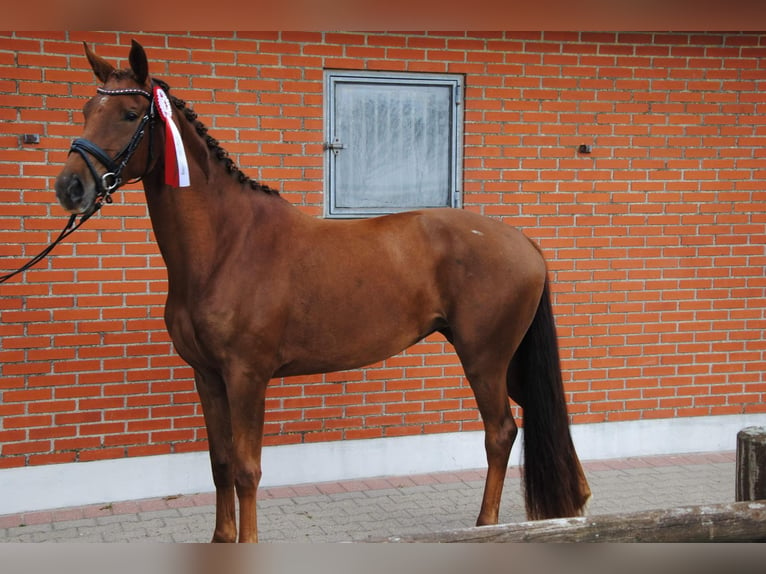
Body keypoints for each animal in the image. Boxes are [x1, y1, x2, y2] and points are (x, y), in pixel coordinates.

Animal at [55, 41, 592, 544]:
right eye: (85, 109)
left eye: (129, 115)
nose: (70, 188)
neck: (228, 245)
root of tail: (524, 241)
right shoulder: (207, 375)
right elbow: (220, 463)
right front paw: (222, 539)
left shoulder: (247, 376)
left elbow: (247, 469)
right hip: (509, 360)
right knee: (543, 415)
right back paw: (577, 501)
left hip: (484, 359)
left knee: (500, 432)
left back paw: (486, 525)